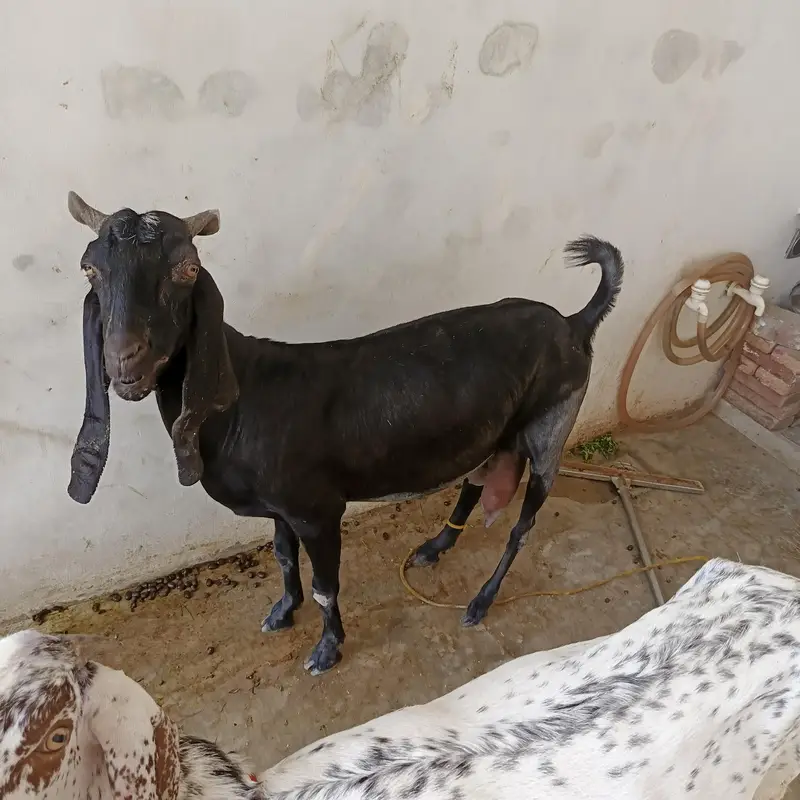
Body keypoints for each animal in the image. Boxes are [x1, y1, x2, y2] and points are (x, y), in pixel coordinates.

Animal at [65, 192, 624, 675]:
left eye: (186, 270)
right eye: (90, 267)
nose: (124, 361)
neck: (247, 391)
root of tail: (575, 324)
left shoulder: (317, 510)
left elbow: (325, 586)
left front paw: (326, 649)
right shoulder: (281, 508)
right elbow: (283, 557)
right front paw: (281, 611)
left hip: (553, 426)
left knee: (522, 526)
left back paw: (480, 601)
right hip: (494, 433)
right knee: (474, 480)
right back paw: (435, 546)